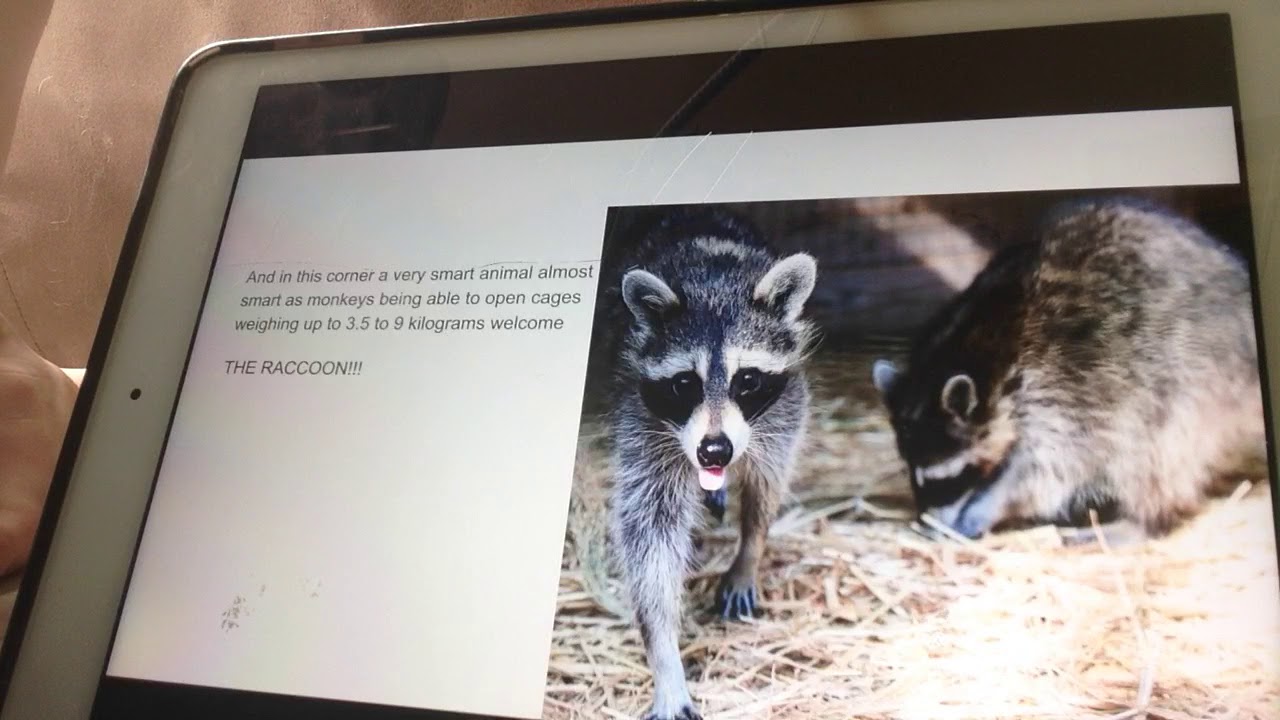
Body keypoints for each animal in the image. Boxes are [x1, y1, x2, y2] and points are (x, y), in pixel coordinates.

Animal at [597, 207, 817, 720]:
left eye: (747, 379)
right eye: (685, 383)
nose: (714, 452)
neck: (712, 275)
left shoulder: (784, 404)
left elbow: (767, 483)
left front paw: (749, 550)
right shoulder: (642, 420)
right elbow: (650, 538)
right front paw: (664, 657)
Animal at [872, 197, 1268, 542]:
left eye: (951, 477)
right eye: (915, 477)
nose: (928, 523)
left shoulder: (1068, 387)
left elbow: (1049, 471)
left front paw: (987, 506)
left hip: (1192, 379)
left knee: (1154, 453)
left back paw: (1146, 521)